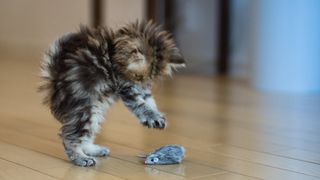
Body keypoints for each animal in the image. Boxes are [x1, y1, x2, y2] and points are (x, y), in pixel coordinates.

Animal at [39, 20, 185, 166]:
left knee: (86, 134)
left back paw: (93, 150)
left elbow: (150, 100)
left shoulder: (142, 90)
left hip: (95, 110)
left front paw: (157, 114)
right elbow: (141, 105)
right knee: (69, 136)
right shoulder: (126, 87)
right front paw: (153, 117)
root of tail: (55, 80)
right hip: (84, 109)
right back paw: (81, 158)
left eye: (150, 79)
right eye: (138, 77)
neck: (113, 54)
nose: (143, 84)